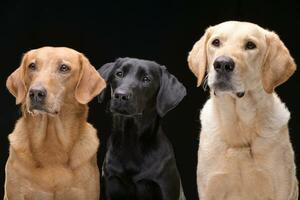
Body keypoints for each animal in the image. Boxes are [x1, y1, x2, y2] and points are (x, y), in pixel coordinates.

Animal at [98, 57, 186, 199]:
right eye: (119, 74)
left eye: (146, 79)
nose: (121, 95)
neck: (130, 141)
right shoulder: (110, 183)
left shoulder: (165, 188)